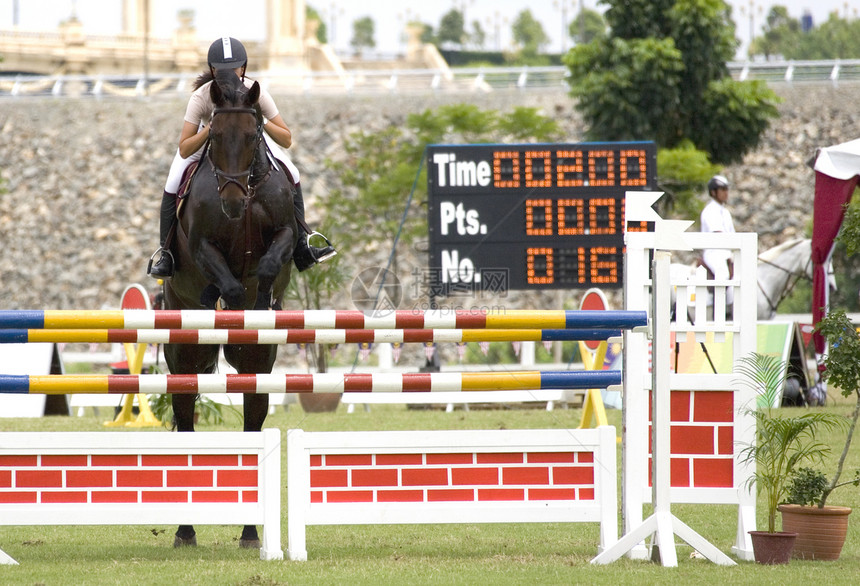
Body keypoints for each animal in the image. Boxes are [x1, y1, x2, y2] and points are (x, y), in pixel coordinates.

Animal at [162, 68, 298, 548]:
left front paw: (262, 305)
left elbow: (270, 264)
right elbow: (231, 287)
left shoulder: (284, 235)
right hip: (181, 354)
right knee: (185, 419)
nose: (234, 203)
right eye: (215, 136)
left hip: (261, 376)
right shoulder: (203, 246)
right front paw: (231, 309)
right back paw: (185, 531)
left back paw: (250, 534)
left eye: (254, 133)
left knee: (253, 423)